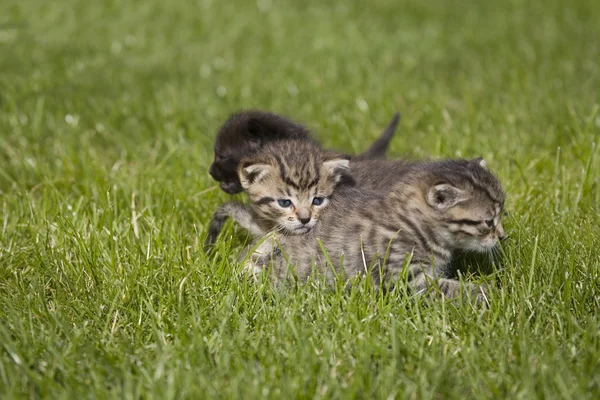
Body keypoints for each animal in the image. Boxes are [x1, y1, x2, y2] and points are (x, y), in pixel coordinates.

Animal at [246, 158, 504, 302]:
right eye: (488, 222)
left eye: (503, 214)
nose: (502, 236)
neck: (413, 224)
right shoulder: (405, 278)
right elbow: (451, 289)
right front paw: (490, 293)